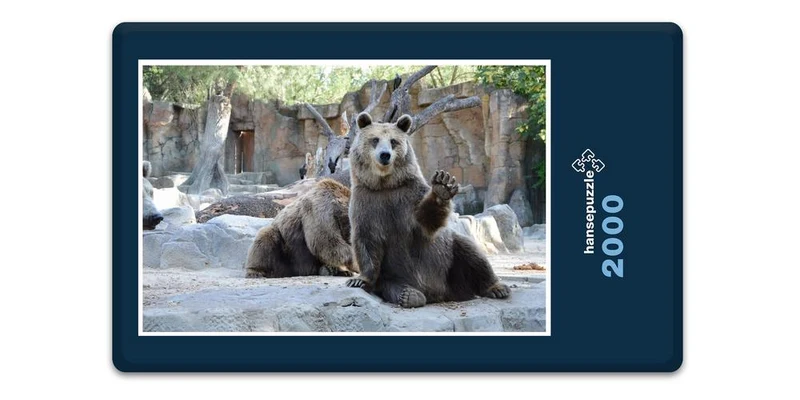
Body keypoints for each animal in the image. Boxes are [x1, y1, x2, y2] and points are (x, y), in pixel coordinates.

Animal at [344, 112, 510, 308]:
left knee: (471, 253)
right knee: (391, 285)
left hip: (449, 263)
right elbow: (366, 240)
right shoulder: (367, 203)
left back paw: (497, 287)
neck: (385, 185)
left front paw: (443, 185)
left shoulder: (409, 197)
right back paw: (409, 295)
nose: (385, 155)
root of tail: (439, 294)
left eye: (393, 141)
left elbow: (426, 222)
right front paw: (358, 280)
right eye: (375, 139)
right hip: (393, 275)